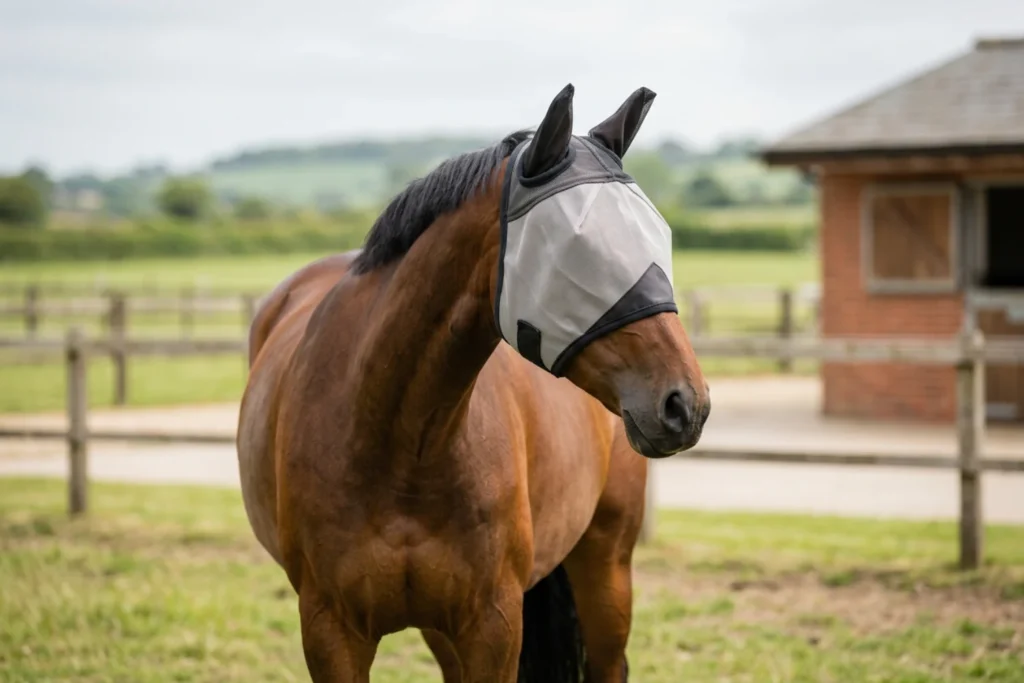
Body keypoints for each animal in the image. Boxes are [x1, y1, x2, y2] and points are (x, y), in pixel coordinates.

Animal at [236, 83, 710, 683]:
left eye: (660, 236)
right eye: (576, 248)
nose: (685, 404)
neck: (398, 445)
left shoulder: (493, 625)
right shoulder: (332, 631)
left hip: (606, 564)